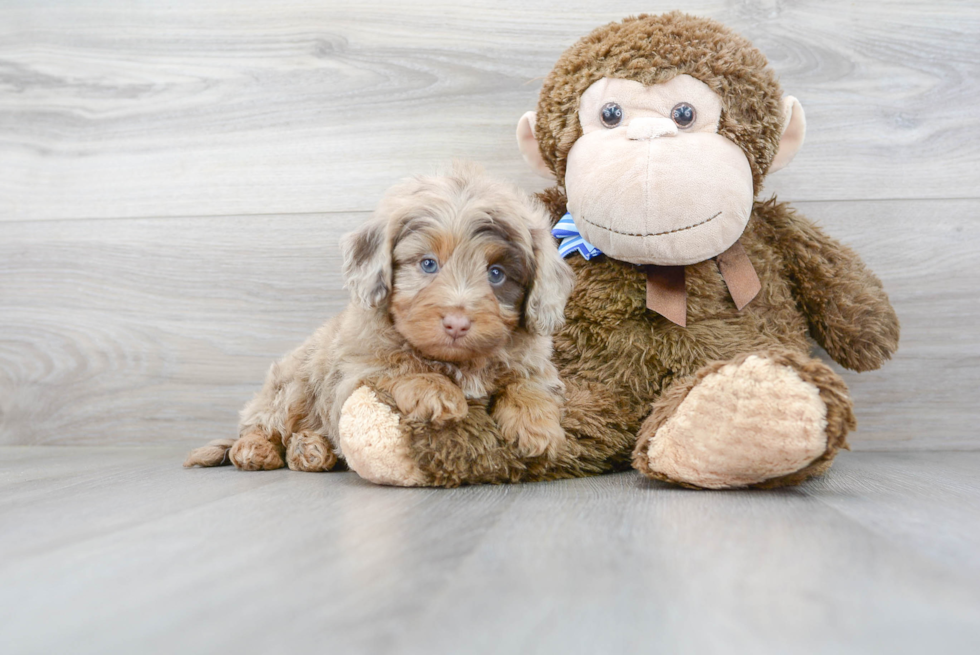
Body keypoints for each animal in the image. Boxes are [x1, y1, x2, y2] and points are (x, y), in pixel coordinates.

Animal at [184, 163, 576, 472]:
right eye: (428, 264)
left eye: (496, 274)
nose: (457, 323)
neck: (458, 362)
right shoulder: (354, 371)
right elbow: (396, 364)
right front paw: (434, 389)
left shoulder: (534, 363)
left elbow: (528, 383)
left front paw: (536, 425)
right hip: (291, 386)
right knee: (262, 425)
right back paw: (257, 449)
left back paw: (310, 449)